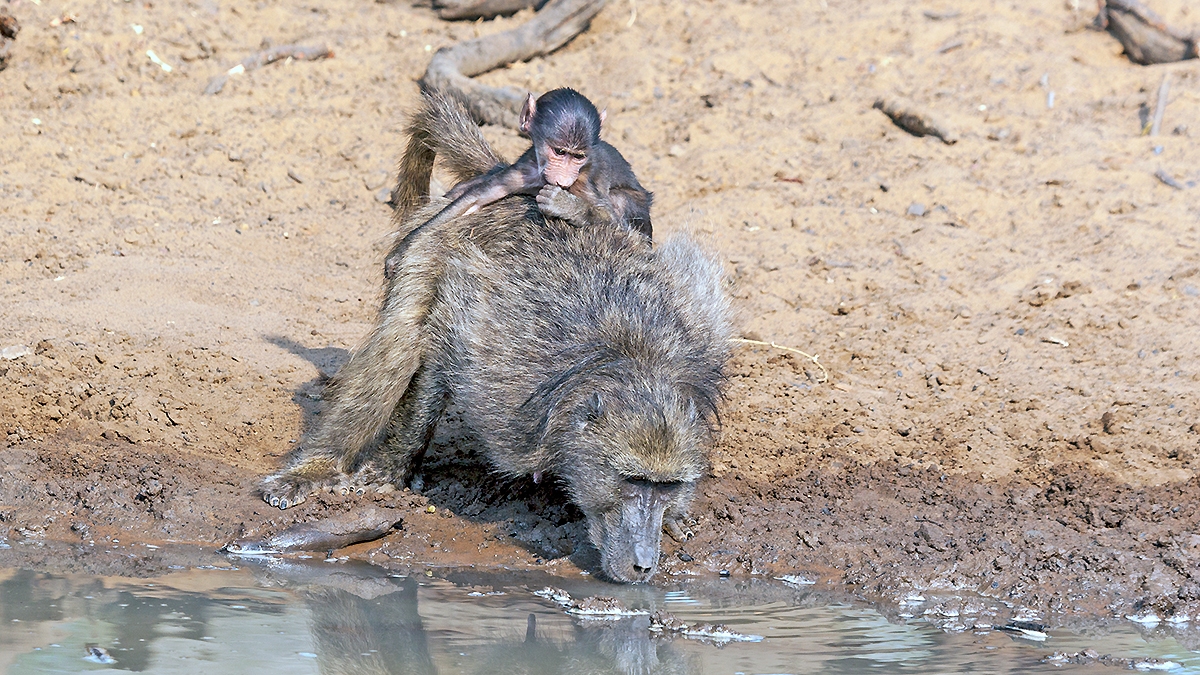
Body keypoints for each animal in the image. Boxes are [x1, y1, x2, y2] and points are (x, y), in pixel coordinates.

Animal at [382, 87, 653, 280]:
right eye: (559, 151)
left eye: (578, 156)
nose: (564, 178)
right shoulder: (524, 169)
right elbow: (475, 199)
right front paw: (402, 250)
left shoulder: (584, 181)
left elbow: (615, 223)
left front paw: (564, 205)